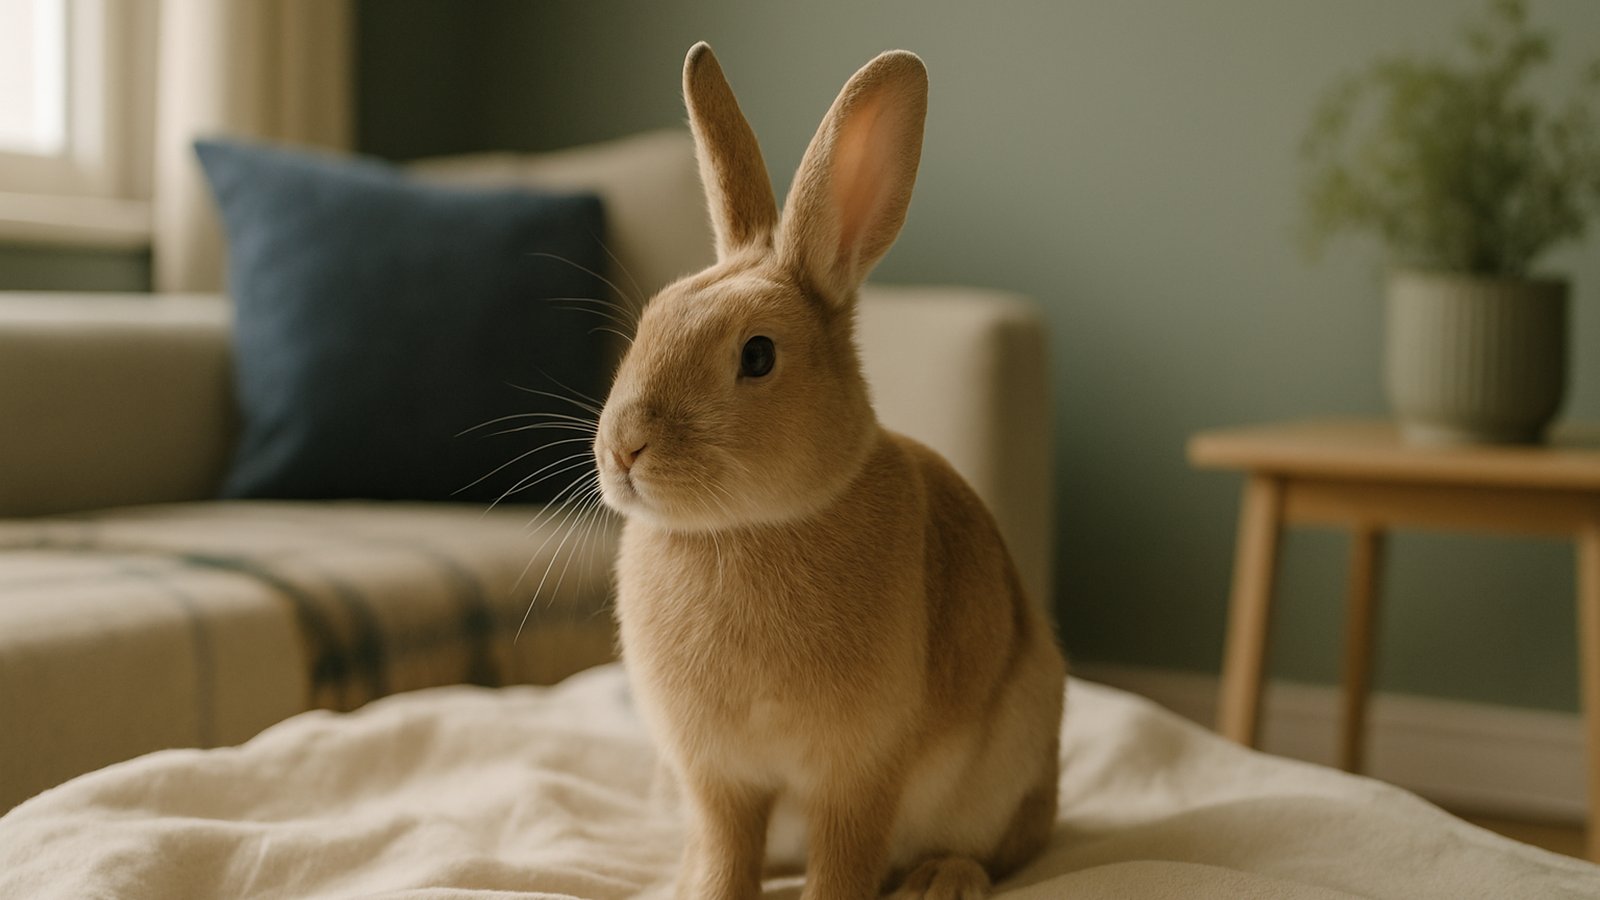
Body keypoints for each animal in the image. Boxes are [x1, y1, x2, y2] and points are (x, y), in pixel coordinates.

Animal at [594, 42, 1066, 900]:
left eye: (757, 356)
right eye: (649, 322)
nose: (625, 448)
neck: (745, 529)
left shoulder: (858, 771)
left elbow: (845, 860)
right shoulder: (719, 779)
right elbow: (727, 853)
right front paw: (705, 889)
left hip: (1012, 762)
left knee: (1005, 847)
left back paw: (942, 880)